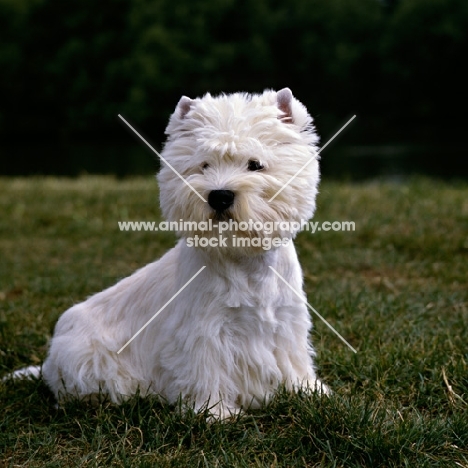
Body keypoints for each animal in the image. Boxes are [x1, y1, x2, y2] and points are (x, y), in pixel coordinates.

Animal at [10, 89, 330, 418]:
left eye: (255, 164)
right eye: (203, 165)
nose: (219, 195)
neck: (244, 262)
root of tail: (48, 362)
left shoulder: (287, 325)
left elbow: (294, 363)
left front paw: (307, 391)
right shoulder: (204, 332)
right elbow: (207, 372)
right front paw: (214, 413)